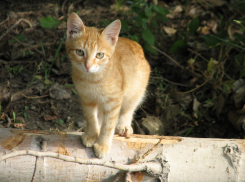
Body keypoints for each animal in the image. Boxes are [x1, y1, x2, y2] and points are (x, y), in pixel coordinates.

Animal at [66, 12, 150, 158]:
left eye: (99, 55)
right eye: (80, 52)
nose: (88, 66)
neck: (92, 80)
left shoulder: (113, 101)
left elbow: (109, 124)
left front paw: (103, 144)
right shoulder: (86, 98)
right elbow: (91, 117)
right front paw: (92, 134)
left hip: (136, 90)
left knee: (129, 108)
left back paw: (124, 125)